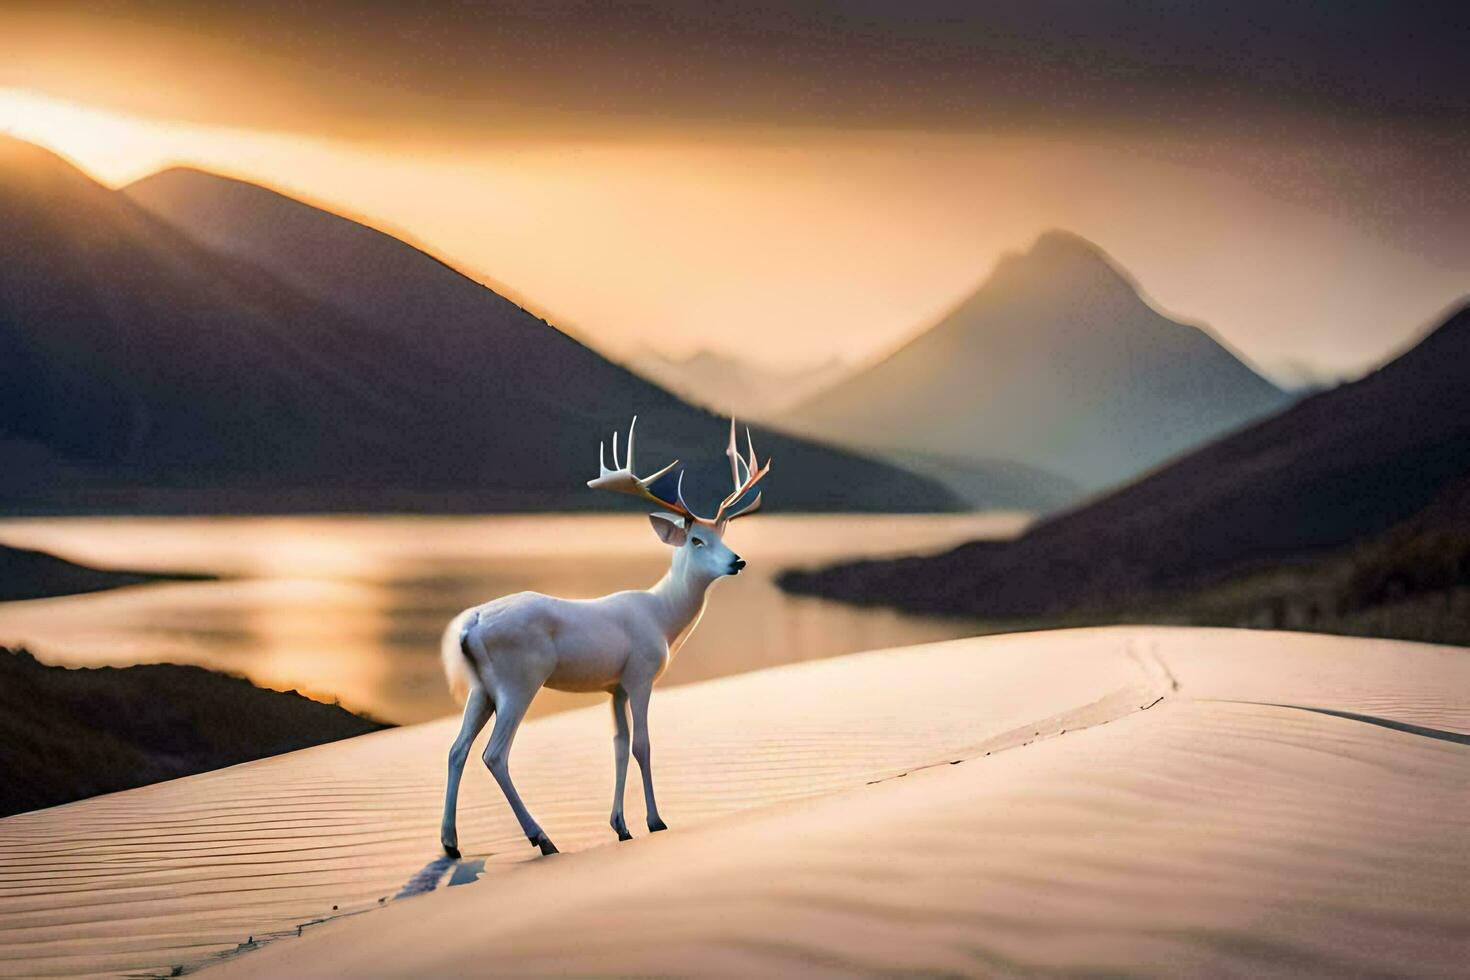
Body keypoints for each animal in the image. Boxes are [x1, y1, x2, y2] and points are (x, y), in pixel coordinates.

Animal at [438, 417, 770, 858]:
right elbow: (642, 745)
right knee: (494, 754)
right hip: (519, 680)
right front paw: (655, 821)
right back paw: (542, 838)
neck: (663, 618)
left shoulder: (615, 687)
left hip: (482, 689)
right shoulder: (642, 675)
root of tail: (470, 624)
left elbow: (618, 746)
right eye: (697, 540)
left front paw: (620, 826)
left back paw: (451, 844)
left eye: (724, 536)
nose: (738, 560)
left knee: (457, 749)